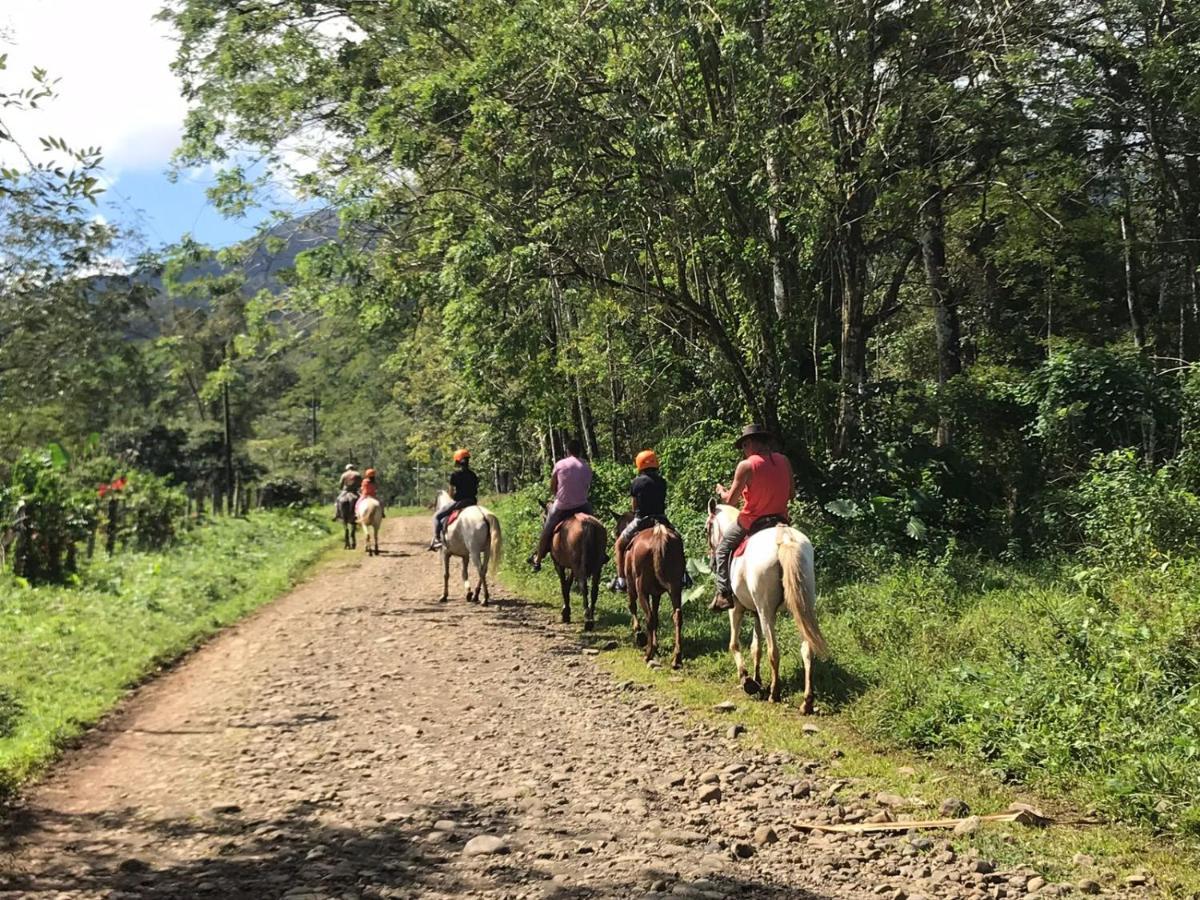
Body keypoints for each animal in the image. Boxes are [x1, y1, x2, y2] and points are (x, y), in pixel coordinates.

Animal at [544, 501, 609, 633]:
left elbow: (564, 585)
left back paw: (587, 620)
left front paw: (566, 613)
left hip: (578, 566)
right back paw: (591, 616)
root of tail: (588, 524)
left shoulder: (558, 564)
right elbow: (568, 583)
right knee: (594, 589)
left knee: (583, 586)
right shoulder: (573, 567)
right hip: (596, 566)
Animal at [619, 520, 686, 672]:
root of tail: (659, 535)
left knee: (648, 616)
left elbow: (633, 606)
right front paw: (655, 644)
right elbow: (656, 616)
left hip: (640, 588)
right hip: (675, 587)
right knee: (677, 616)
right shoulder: (656, 594)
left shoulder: (632, 587)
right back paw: (676, 658)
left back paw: (648, 654)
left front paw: (640, 635)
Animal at [700, 501, 825, 710]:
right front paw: (757, 680)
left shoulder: (737, 609)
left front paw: (747, 680)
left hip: (767, 611)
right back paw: (807, 701)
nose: (711, 561)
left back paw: (775, 694)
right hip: (801, 607)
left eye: (706, 529)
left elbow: (735, 644)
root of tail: (784, 538)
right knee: (807, 649)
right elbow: (755, 648)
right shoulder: (756, 613)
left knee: (774, 651)